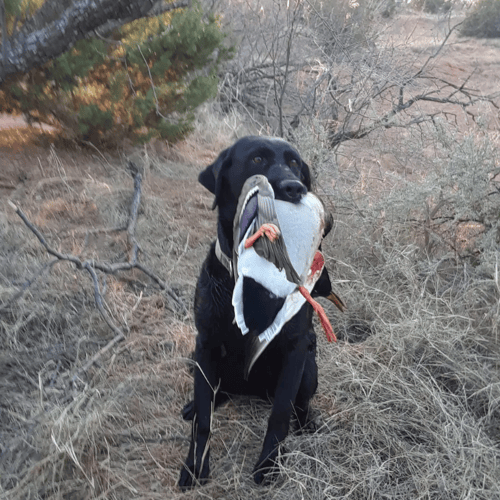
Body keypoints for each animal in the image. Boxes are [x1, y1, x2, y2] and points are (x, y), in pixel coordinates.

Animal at [180, 137, 336, 488]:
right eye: (256, 159)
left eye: (295, 164)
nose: (294, 188)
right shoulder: (205, 343)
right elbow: (204, 418)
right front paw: (195, 465)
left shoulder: (295, 349)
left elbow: (280, 415)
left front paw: (268, 465)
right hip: (199, 359)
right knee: (213, 395)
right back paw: (194, 405)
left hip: (309, 367)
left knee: (299, 405)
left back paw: (307, 423)